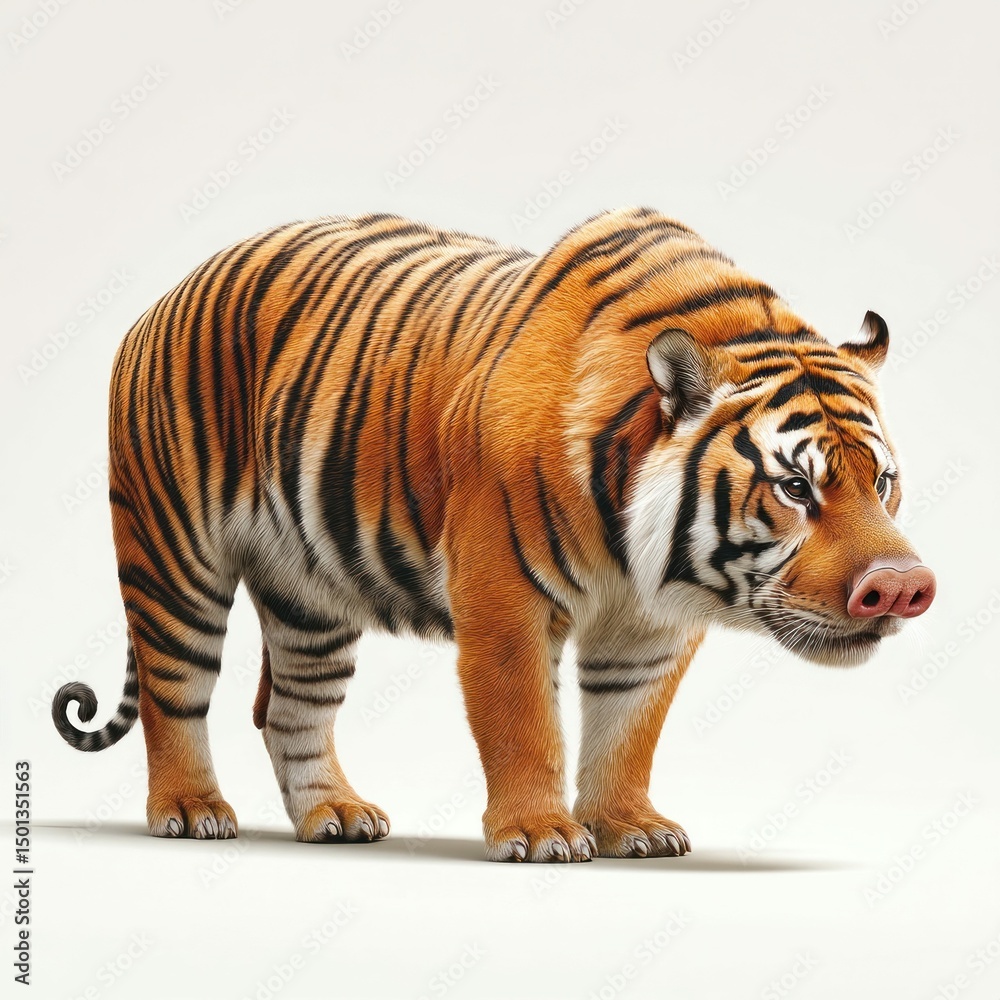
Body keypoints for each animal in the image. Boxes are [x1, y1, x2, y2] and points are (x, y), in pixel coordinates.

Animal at [52, 207, 936, 862]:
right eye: (796, 487)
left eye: (880, 482)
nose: (900, 586)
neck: (638, 554)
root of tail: (171, 290)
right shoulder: (503, 600)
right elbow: (525, 724)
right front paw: (541, 833)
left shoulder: (651, 629)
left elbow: (628, 730)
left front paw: (629, 826)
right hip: (175, 558)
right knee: (173, 692)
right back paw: (191, 809)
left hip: (309, 596)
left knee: (292, 709)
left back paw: (334, 815)